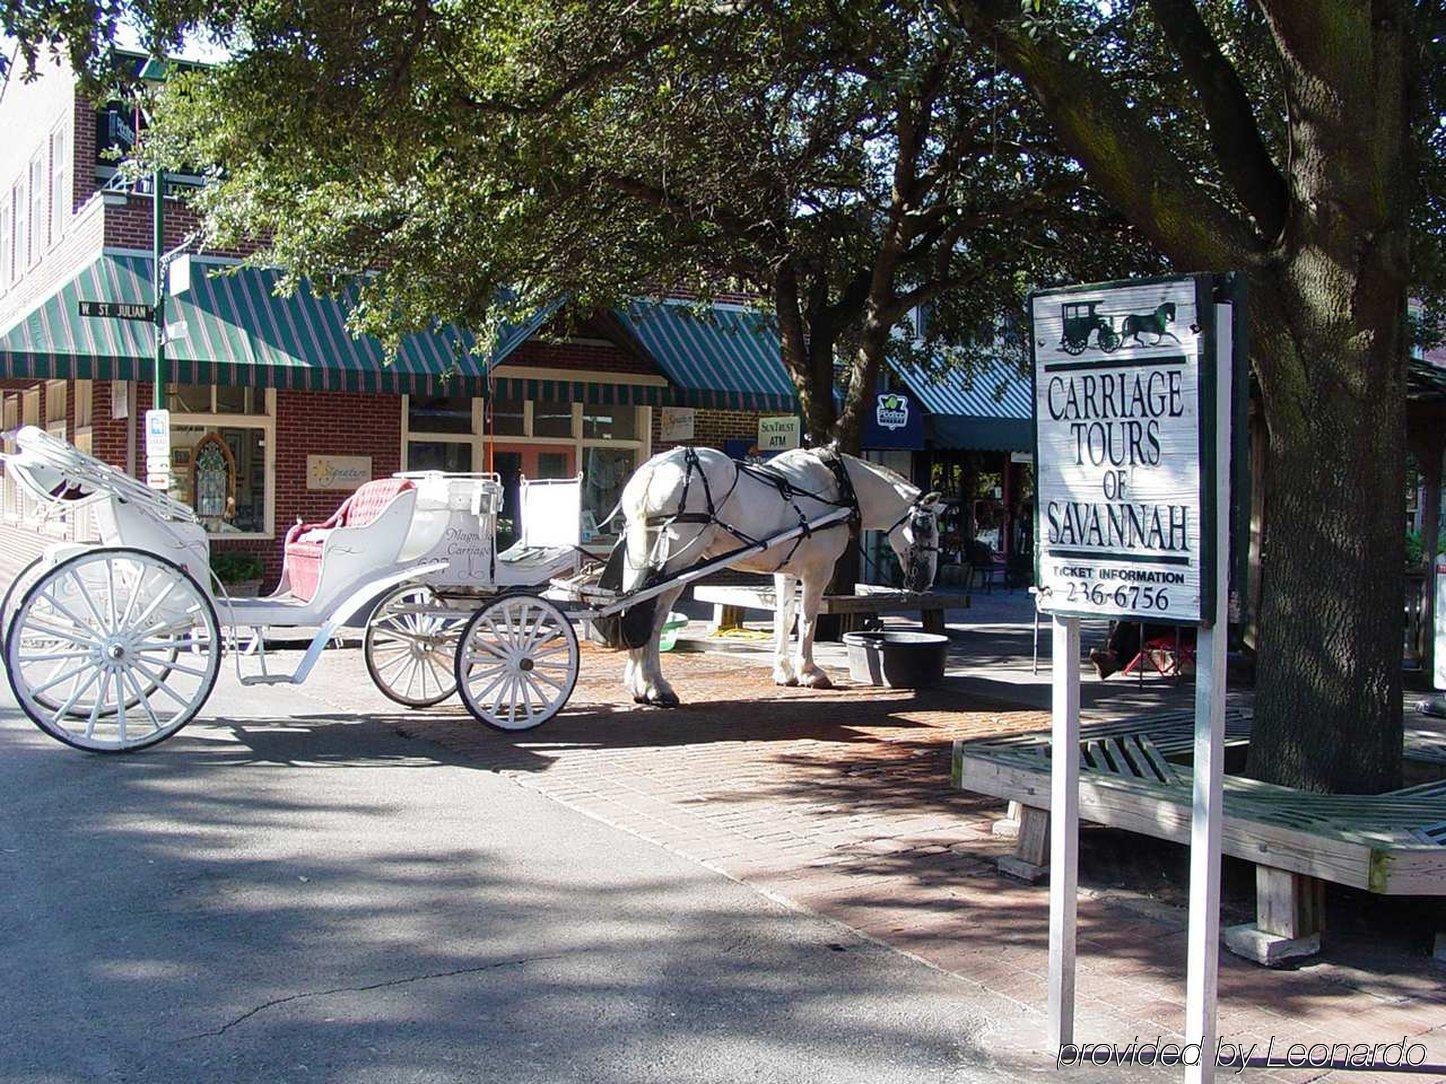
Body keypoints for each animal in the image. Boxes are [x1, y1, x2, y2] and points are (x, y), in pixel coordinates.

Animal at [601, 445, 948, 708]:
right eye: (924, 526)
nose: (924, 581)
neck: (838, 487)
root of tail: (654, 469)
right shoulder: (818, 570)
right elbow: (807, 620)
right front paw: (810, 672)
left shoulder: (786, 572)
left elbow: (784, 618)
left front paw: (784, 673)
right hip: (677, 561)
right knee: (653, 617)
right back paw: (656, 687)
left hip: (643, 552)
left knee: (633, 609)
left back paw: (638, 684)